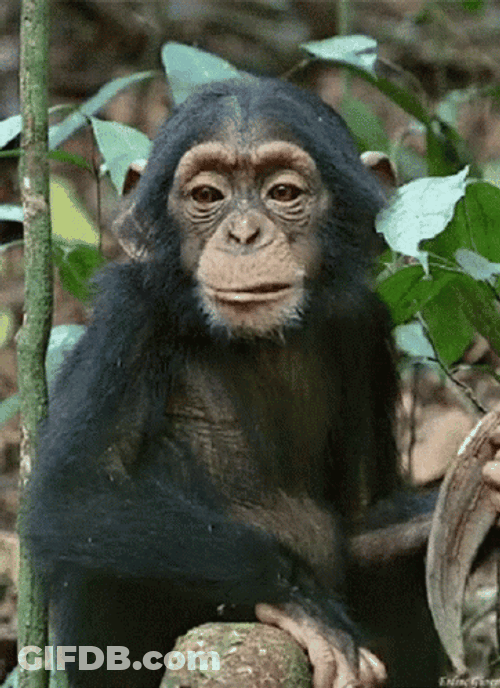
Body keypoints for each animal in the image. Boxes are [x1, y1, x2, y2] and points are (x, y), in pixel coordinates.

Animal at [26, 76, 420, 688]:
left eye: (282, 192)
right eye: (207, 197)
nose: (243, 232)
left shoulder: (364, 323)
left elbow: (361, 518)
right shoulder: (127, 316)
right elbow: (71, 496)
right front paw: (302, 601)